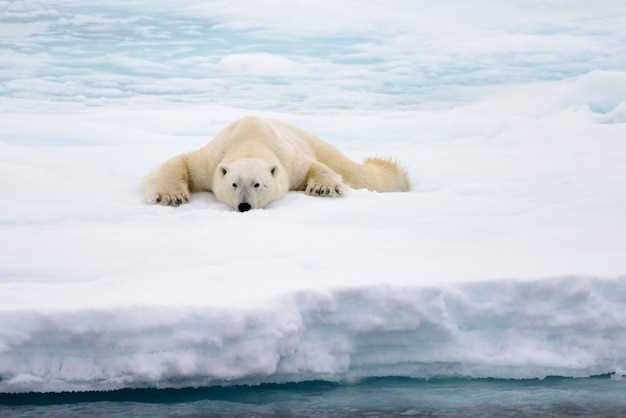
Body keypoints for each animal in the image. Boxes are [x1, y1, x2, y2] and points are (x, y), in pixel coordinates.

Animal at [144, 115, 412, 211]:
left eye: (258, 184)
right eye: (234, 184)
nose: (244, 206)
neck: (249, 139)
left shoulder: (288, 160)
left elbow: (312, 167)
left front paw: (323, 188)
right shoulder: (210, 160)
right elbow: (182, 162)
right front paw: (171, 196)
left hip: (316, 143)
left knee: (358, 172)